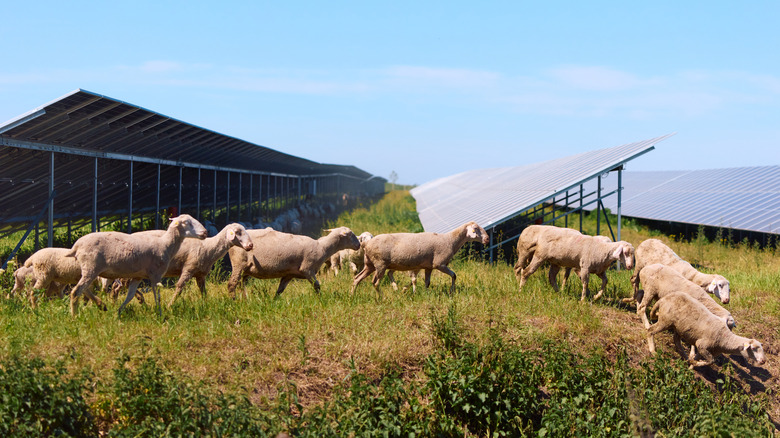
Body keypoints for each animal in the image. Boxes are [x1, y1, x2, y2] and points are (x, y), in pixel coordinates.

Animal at [63, 214, 208, 316]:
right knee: (76, 291)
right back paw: (74, 316)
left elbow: (130, 295)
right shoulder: (155, 275)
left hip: (89, 269)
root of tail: (76, 246)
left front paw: (119, 311)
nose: (205, 232)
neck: (165, 244)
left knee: (83, 289)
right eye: (187, 222)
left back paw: (101, 305)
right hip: (91, 268)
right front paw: (160, 314)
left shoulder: (138, 276)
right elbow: (157, 296)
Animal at [227, 226, 360, 298]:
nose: (359, 245)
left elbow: (280, 290)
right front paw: (322, 299)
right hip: (238, 264)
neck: (322, 247)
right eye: (350, 234)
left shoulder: (289, 274)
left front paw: (274, 301)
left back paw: (245, 300)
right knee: (231, 285)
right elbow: (317, 286)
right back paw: (234, 302)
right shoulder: (307, 269)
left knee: (241, 285)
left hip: (245, 269)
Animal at [350, 221, 489, 297]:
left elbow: (427, 282)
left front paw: (425, 294)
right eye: (475, 229)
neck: (450, 240)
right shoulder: (439, 264)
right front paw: (451, 291)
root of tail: (366, 244)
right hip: (380, 264)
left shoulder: (428, 267)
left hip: (369, 265)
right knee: (375, 282)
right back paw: (382, 298)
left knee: (357, 278)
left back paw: (352, 295)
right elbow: (454, 275)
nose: (487, 239)